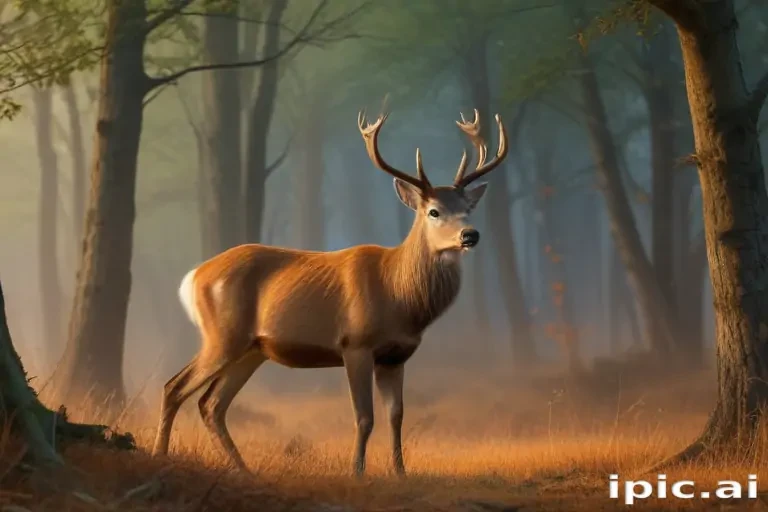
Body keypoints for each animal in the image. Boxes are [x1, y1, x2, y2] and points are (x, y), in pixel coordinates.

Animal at [151, 108, 508, 477]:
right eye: (434, 211)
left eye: (468, 209)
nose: (470, 235)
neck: (398, 295)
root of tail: (193, 276)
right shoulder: (355, 343)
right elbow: (364, 417)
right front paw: (357, 472)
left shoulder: (397, 355)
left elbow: (396, 416)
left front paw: (400, 473)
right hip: (223, 334)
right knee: (174, 386)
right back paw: (161, 455)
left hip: (252, 349)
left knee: (211, 404)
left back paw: (243, 468)